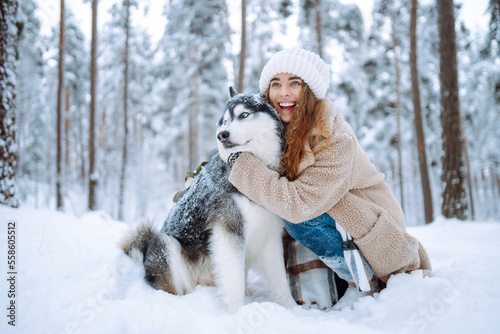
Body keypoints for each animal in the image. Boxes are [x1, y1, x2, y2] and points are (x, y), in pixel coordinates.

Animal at [122, 87, 296, 312]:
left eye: (244, 115)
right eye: (224, 121)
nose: (222, 135)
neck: (255, 171)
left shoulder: (270, 235)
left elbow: (280, 280)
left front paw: (293, 309)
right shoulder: (229, 232)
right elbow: (234, 283)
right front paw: (237, 312)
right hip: (167, 245)